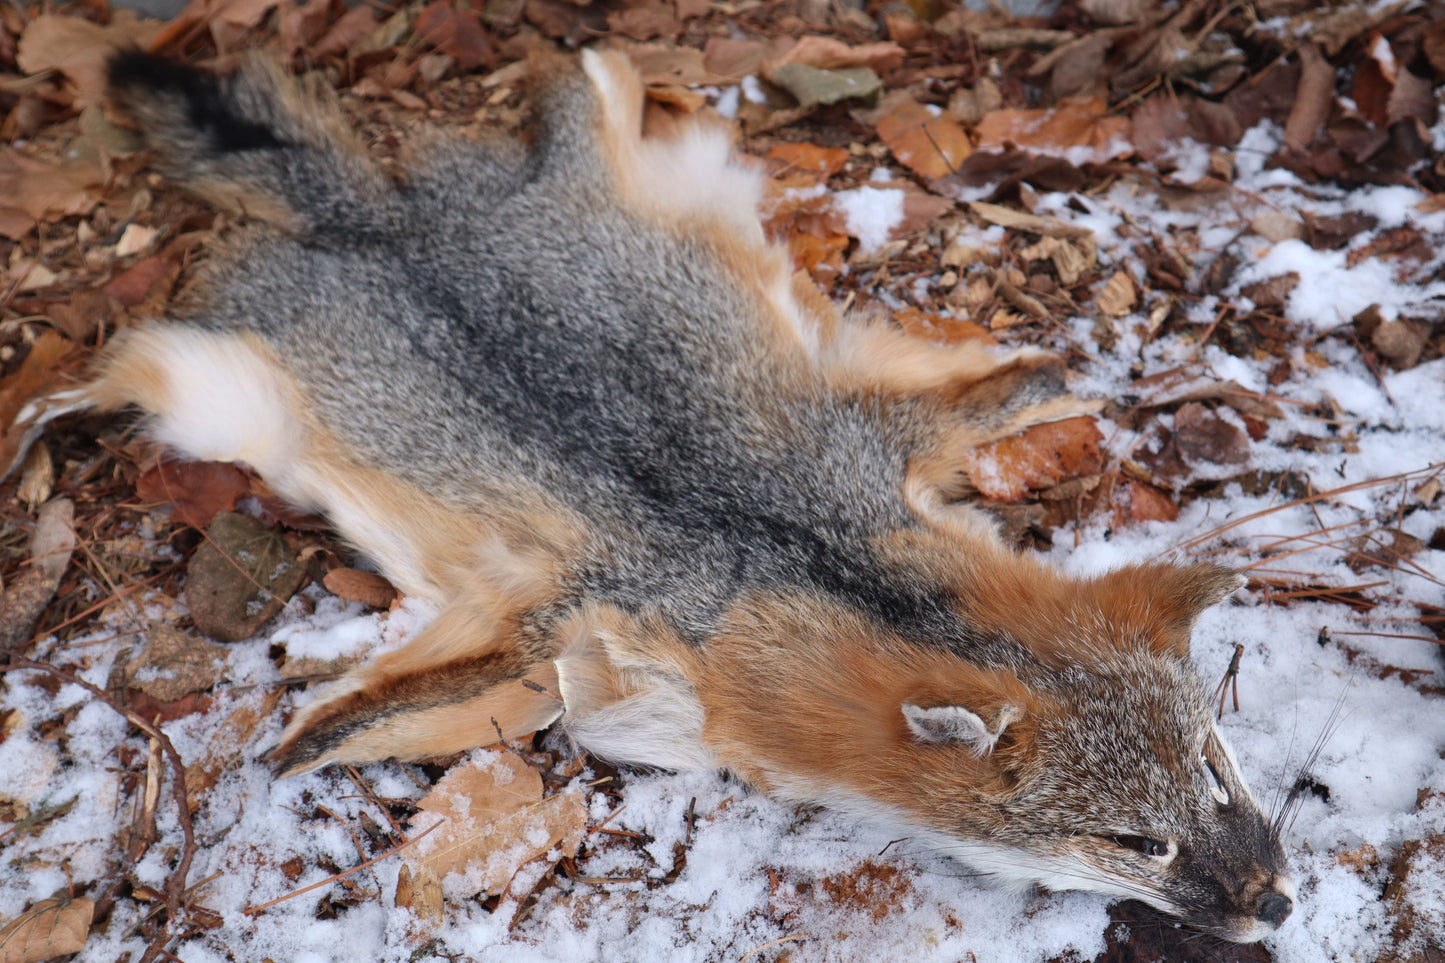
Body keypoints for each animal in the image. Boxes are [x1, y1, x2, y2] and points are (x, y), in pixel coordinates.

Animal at [15, 48, 1295, 942]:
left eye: (1214, 770)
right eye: (1133, 840)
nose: (1275, 904)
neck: (806, 558)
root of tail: (373, 214)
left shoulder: (879, 445)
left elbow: (1001, 394)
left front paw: (1038, 377)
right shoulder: (562, 633)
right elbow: (383, 709)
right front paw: (307, 740)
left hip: (614, 127)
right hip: (198, 399)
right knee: (103, 366)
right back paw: (31, 418)